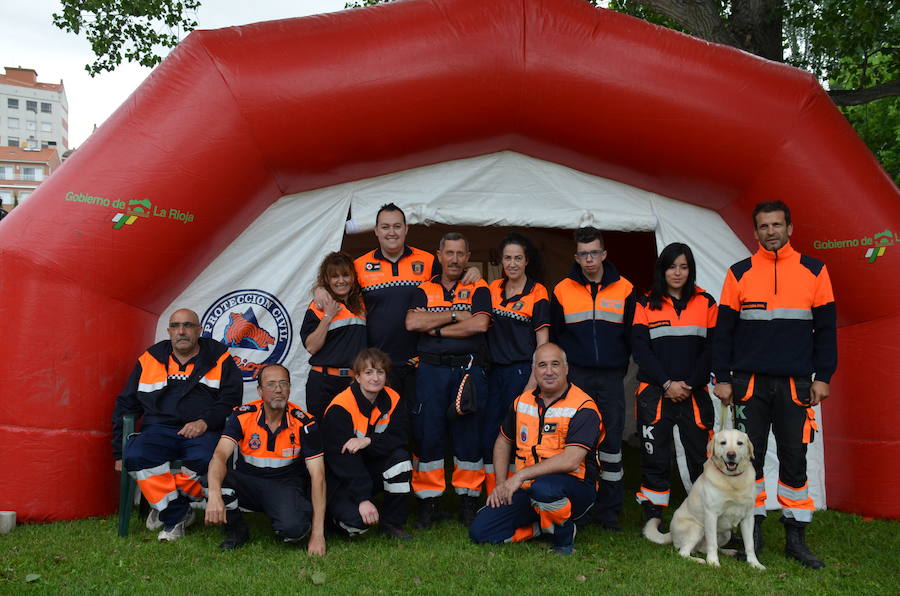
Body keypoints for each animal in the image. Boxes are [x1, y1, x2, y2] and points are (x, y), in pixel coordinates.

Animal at [644, 428, 764, 568]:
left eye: (739, 443)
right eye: (723, 442)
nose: (731, 454)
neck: (732, 481)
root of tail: (671, 534)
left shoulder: (748, 517)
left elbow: (750, 544)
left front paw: (754, 563)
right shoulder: (711, 515)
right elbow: (712, 543)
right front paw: (712, 562)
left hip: (726, 534)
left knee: (706, 548)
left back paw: (729, 552)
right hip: (697, 528)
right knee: (683, 552)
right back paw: (699, 560)